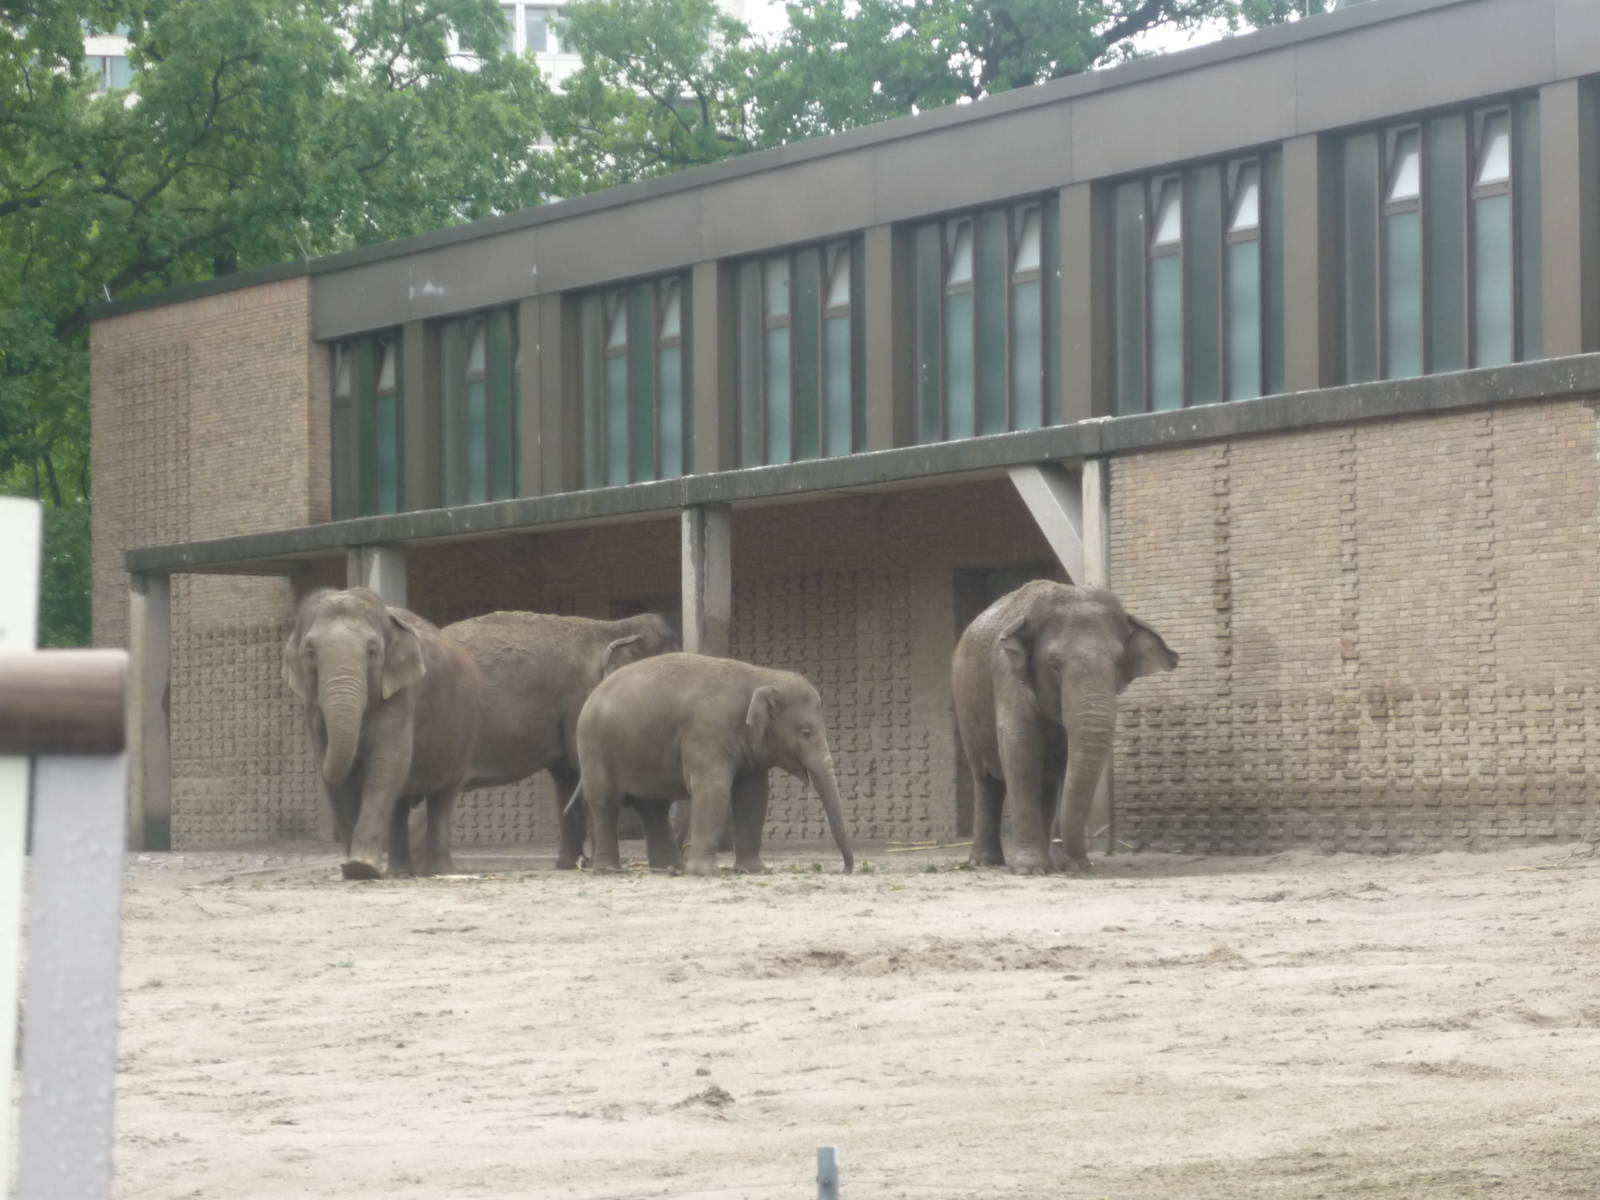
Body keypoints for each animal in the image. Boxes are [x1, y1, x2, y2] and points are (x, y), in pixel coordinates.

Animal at [282, 588, 481, 879]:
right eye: (309, 651)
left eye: (372, 650)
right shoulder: (312, 708)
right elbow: (340, 783)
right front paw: (354, 870)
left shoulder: (402, 695)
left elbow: (386, 766)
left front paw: (361, 867)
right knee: (400, 804)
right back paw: (400, 873)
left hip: (465, 732)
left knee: (442, 798)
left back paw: (441, 871)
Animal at [574, 653, 854, 876]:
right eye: (806, 733)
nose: (845, 869)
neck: (761, 675)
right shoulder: (708, 731)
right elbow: (713, 789)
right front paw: (705, 873)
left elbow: (754, 795)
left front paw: (754, 871)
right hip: (594, 748)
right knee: (604, 802)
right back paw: (609, 871)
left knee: (653, 807)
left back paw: (670, 868)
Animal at [951, 581, 1178, 875]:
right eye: (1053, 665)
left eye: (1118, 664)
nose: (1086, 863)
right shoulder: (1007, 675)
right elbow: (1020, 750)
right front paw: (1031, 870)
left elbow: (1067, 763)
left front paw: (1070, 866)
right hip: (966, 709)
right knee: (986, 780)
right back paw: (985, 862)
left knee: (1046, 784)